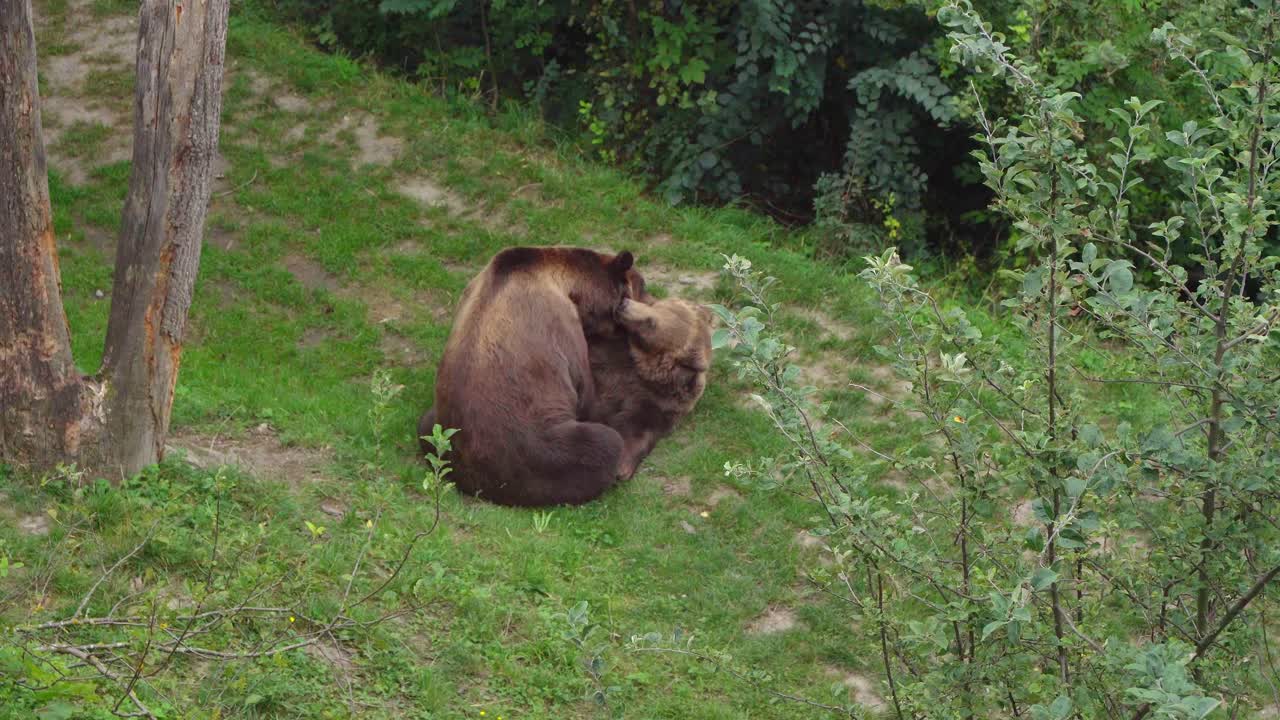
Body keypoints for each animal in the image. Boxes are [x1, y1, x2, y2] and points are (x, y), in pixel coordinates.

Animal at [418, 246, 647, 507]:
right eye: (643, 286)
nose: (649, 300)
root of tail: (478, 484)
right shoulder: (562, 328)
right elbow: (585, 394)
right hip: (537, 453)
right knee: (602, 444)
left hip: (439, 427)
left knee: (424, 423)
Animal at [588, 295, 714, 481]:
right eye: (655, 305)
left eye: (651, 323)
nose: (624, 303)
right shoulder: (608, 359)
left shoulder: (659, 404)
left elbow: (638, 428)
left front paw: (622, 466)